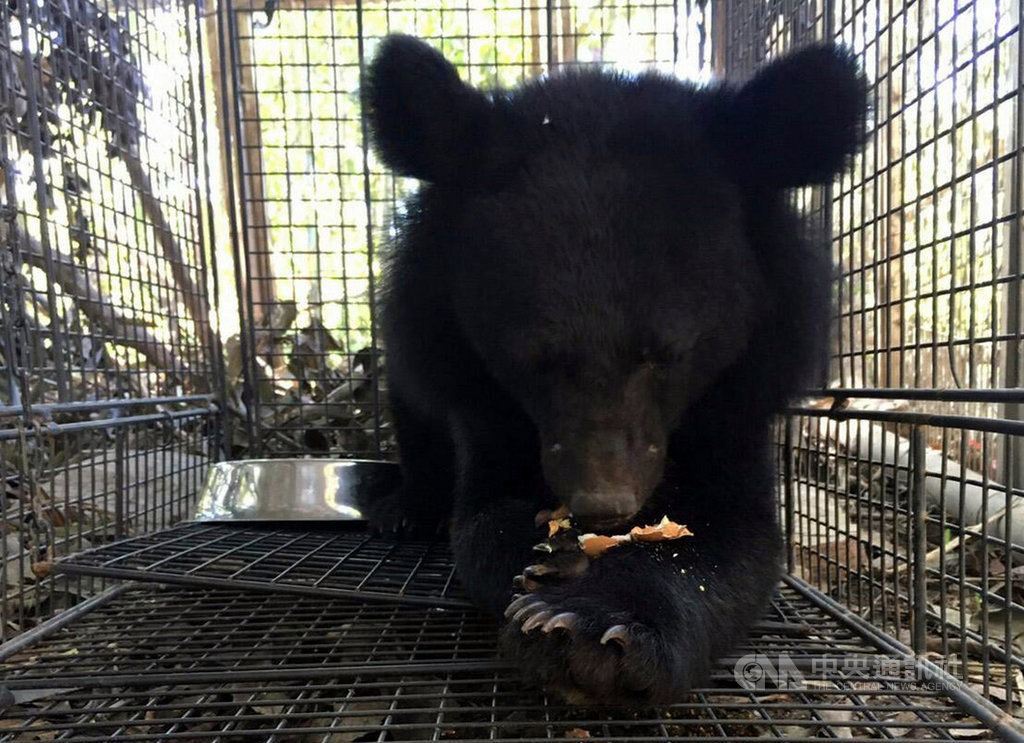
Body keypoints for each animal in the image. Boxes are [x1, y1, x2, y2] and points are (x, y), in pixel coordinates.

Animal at [362, 34, 866, 706]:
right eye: (532, 358)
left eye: (669, 353)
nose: (604, 505)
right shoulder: (480, 394)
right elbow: (482, 516)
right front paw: (556, 556)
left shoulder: (739, 394)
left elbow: (740, 538)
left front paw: (590, 628)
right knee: (415, 417)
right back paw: (406, 508)